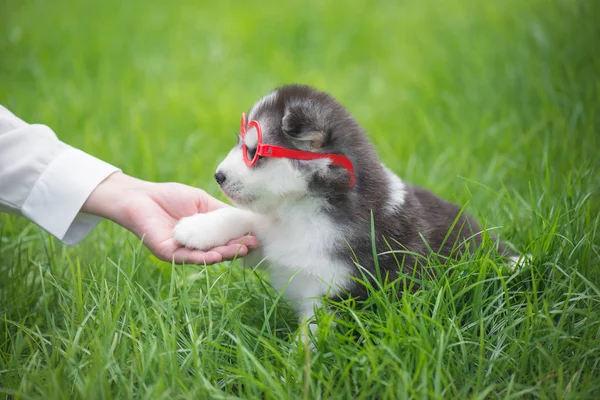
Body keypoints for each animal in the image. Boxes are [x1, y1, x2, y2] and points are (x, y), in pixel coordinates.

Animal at [172, 86, 520, 332]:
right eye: (241, 144)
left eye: (253, 152)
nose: (218, 176)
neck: (302, 212)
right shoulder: (275, 244)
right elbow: (246, 216)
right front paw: (196, 228)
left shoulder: (339, 293)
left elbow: (312, 341)